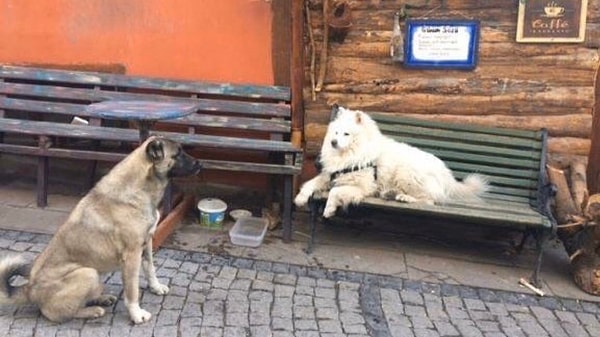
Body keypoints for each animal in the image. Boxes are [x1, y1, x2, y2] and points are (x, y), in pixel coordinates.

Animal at [0, 136, 202, 322]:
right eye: (178, 154)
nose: (200, 163)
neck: (139, 187)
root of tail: (29, 290)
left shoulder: (147, 243)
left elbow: (150, 268)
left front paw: (156, 287)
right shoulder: (132, 254)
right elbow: (132, 290)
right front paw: (136, 314)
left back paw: (101, 299)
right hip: (88, 273)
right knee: (57, 312)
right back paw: (93, 311)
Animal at [296, 104, 488, 218]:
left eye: (346, 134)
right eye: (335, 132)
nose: (333, 142)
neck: (350, 155)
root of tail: (446, 174)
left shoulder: (362, 187)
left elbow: (335, 192)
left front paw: (329, 209)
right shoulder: (329, 176)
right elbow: (309, 184)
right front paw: (299, 199)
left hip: (408, 173)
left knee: (431, 200)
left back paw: (405, 197)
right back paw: (391, 193)